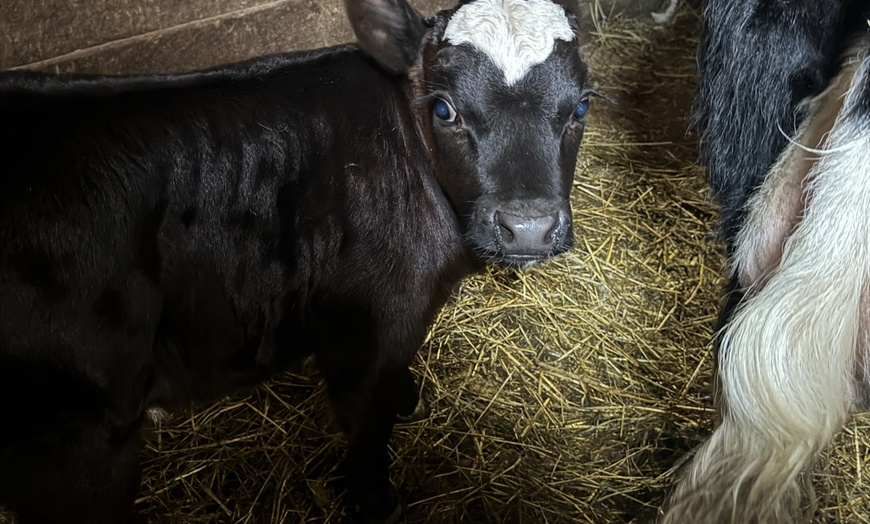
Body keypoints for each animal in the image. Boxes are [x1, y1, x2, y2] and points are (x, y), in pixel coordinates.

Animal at [0, 0, 592, 522]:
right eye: (444, 109)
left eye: (583, 105)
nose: (529, 226)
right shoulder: (366, 335)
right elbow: (369, 430)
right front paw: (376, 503)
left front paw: (408, 397)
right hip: (80, 443)